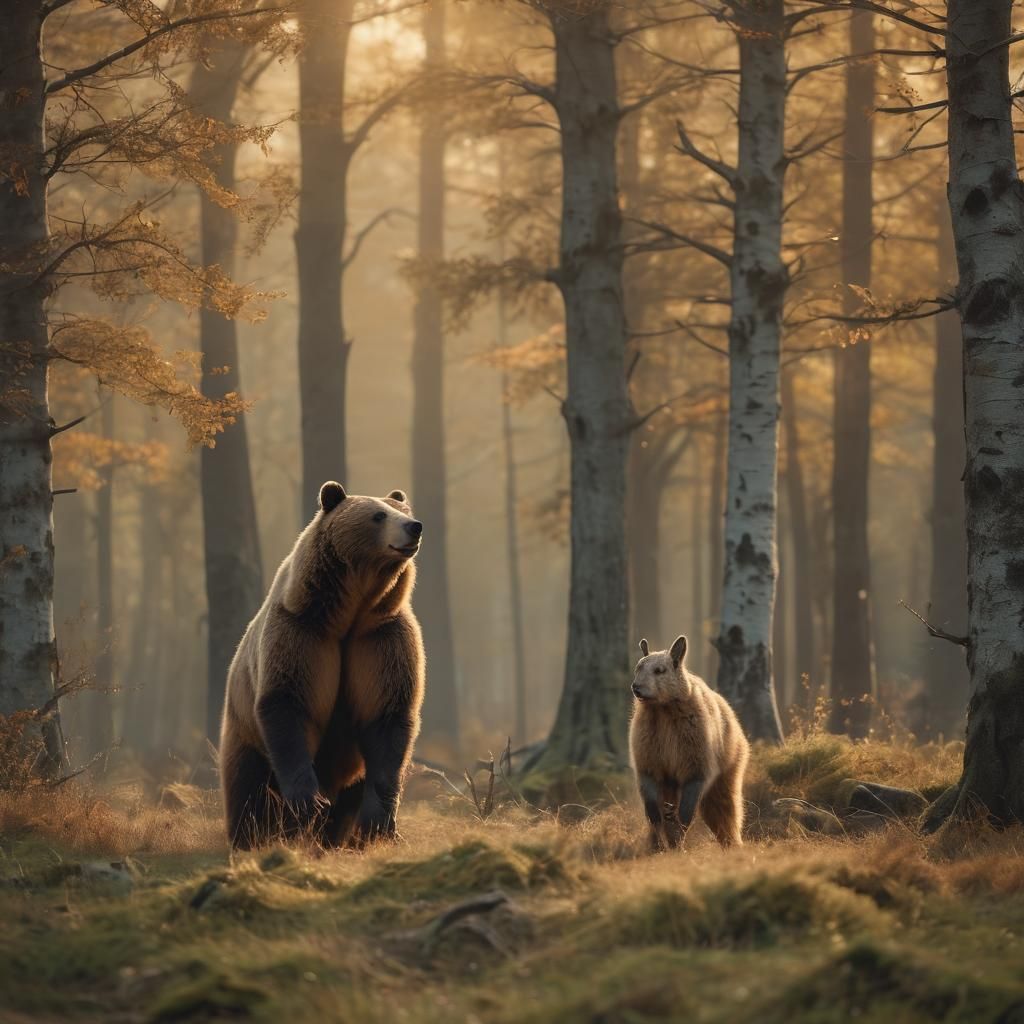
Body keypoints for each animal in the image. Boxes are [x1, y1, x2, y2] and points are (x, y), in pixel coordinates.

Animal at [219, 482, 425, 850]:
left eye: (403, 510)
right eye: (379, 515)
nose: (414, 527)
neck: (351, 613)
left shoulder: (380, 640)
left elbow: (388, 717)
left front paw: (379, 823)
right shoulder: (303, 632)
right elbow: (287, 703)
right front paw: (308, 800)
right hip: (245, 733)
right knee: (248, 790)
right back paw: (252, 838)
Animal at [629, 635, 749, 851]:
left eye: (659, 670)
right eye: (638, 667)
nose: (637, 687)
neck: (663, 708)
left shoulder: (693, 744)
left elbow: (692, 794)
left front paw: (678, 831)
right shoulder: (650, 746)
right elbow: (650, 792)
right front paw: (661, 832)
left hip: (730, 758)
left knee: (724, 805)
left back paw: (731, 841)